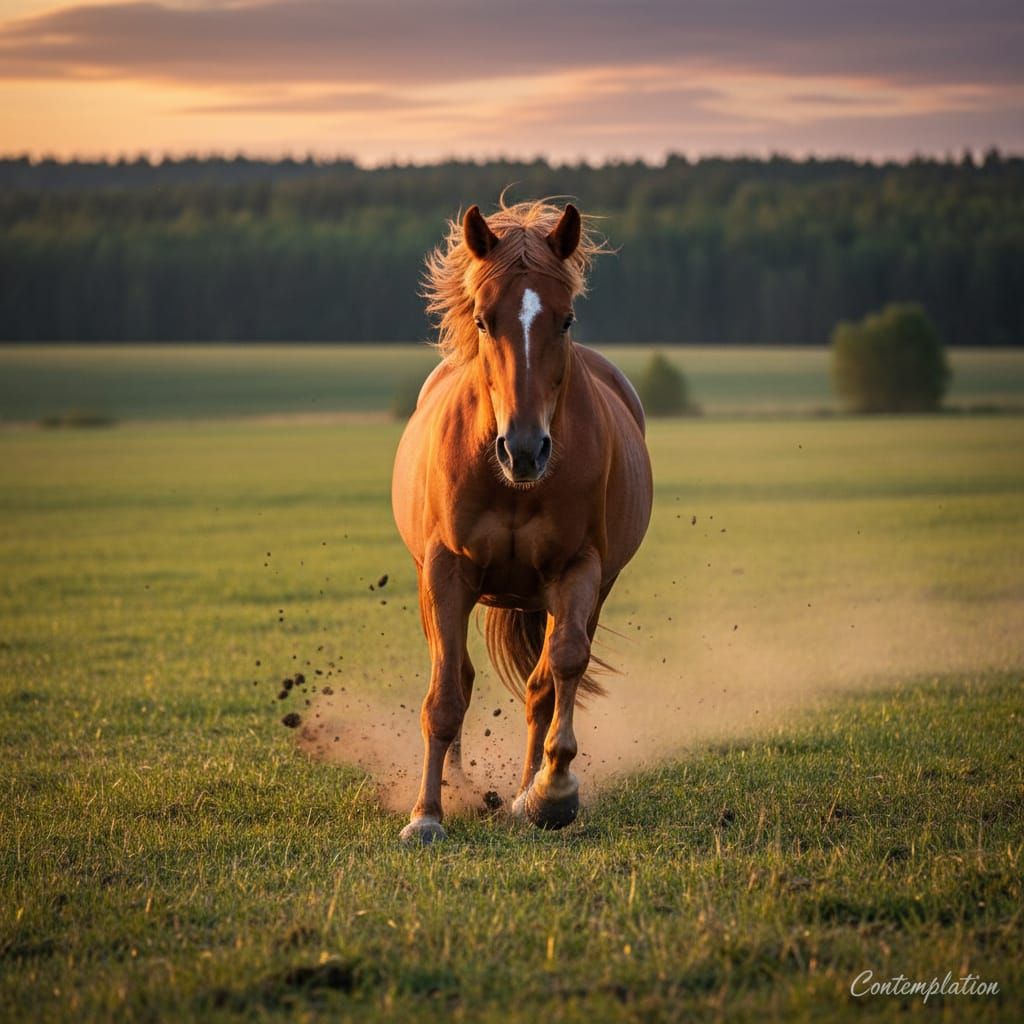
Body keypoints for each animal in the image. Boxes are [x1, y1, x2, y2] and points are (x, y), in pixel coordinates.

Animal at [391, 199, 653, 843]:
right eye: (484, 321)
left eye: (566, 320)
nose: (525, 450)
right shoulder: (445, 572)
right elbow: (445, 693)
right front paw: (427, 814)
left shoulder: (578, 570)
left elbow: (561, 667)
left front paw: (551, 792)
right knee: (458, 676)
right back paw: (457, 786)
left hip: (590, 588)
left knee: (543, 682)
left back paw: (525, 790)